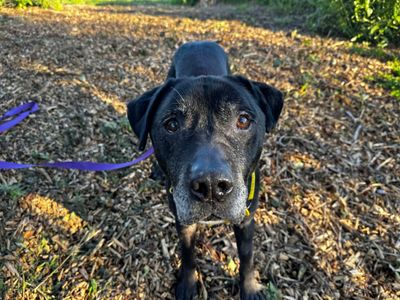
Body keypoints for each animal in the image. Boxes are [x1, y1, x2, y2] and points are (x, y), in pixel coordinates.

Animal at [126, 41, 282, 300]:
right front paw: (188, 283)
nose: (210, 185)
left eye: (243, 120)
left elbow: (247, 256)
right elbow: (188, 254)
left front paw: (249, 288)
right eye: (172, 124)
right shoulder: (183, 220)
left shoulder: (246, 220)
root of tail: (198, 42)